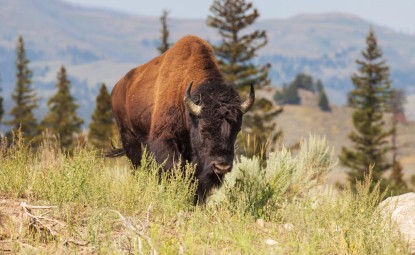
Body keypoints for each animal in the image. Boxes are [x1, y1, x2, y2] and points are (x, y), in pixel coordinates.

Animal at [108, 35, 254, 203]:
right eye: (203, 129)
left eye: (236, 130)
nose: (221, 166)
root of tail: (118, 88)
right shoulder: (165, 140)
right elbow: (175, 168)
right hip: (129, 137)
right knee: (137, 165)